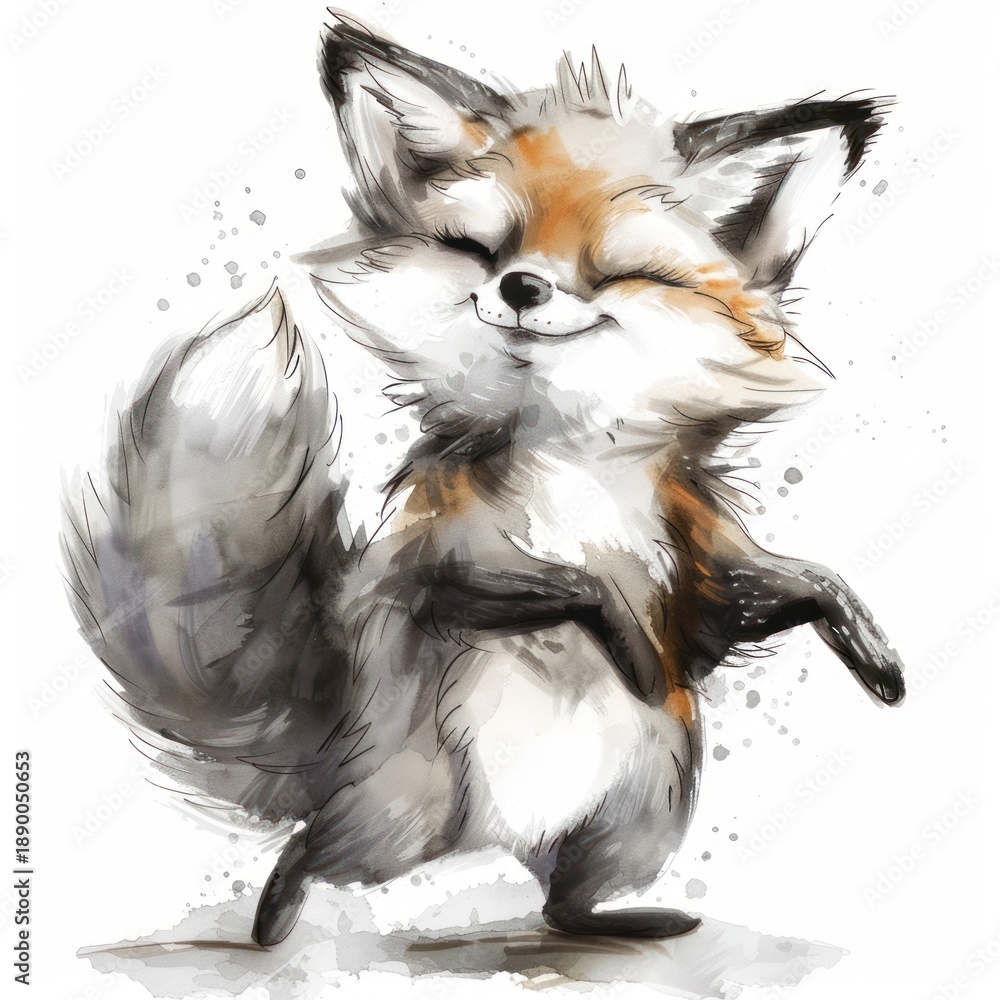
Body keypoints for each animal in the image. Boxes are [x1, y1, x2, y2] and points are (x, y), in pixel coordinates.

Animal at [60, 11, 905, 949]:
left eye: (615, 270)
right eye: (483, 249)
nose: (524, 286)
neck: (571, 471)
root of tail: (501, 836)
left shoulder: (698, 566)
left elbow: (795, 584)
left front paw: (872, 654)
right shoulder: (435, 566)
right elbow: (560, 587)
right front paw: (619, 634)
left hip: (638, 815)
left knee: (563, 905)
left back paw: (620, 920)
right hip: (396, 819)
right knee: (306, 853)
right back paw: (271, 924)